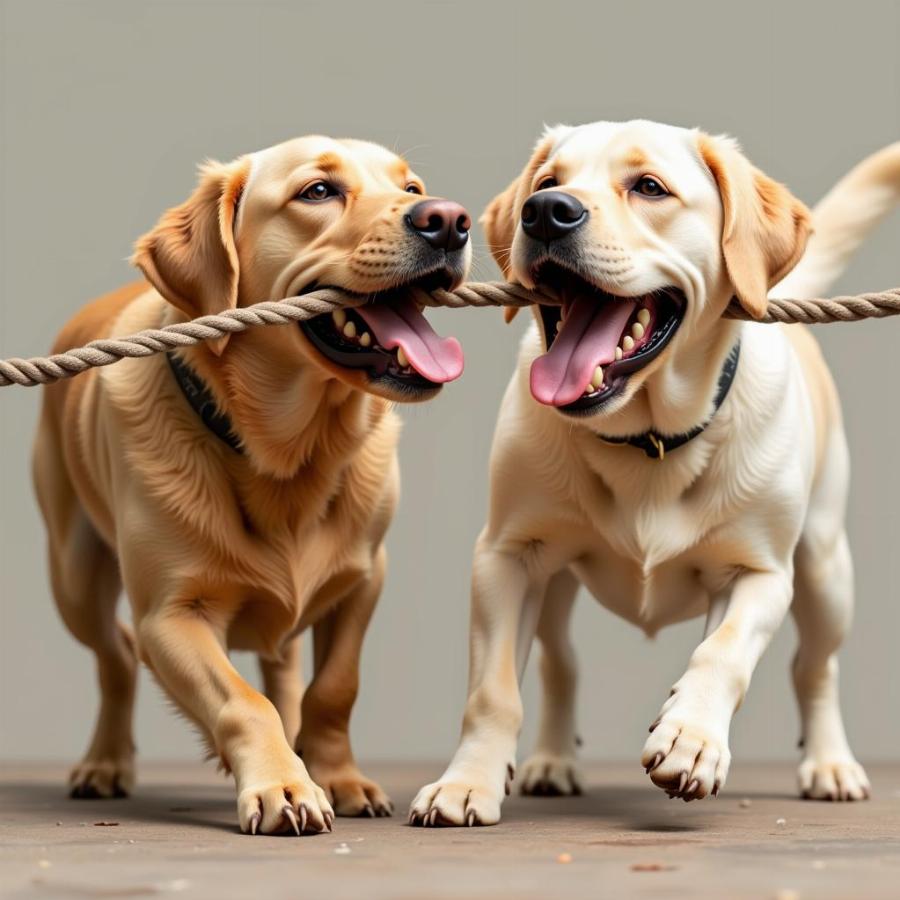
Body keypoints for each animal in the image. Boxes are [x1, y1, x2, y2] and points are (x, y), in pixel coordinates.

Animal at [33, 135, 472, 836]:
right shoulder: (170, 615)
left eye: (412, 188)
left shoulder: (363, 579)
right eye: (318, 191)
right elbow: (242, 702)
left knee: (282, 670)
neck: (289, 458)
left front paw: (339, 777)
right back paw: (105, 764)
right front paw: (283, 785)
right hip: (74, 578)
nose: (450, 220)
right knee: (117, 655)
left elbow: (334, 689)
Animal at [410, 123, 900, 828]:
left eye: (649, 187)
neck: (647, 443)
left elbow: (721, 652)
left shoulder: (759, 573)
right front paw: (466, 782)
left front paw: (691, 740)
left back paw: (830, 765)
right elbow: (493, 689)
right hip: (555, 583)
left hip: (825, 568)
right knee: (561, 665)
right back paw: (551, 761)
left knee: (816, 668)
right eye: (545, 182)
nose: (545, 211)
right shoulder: (505, 556)